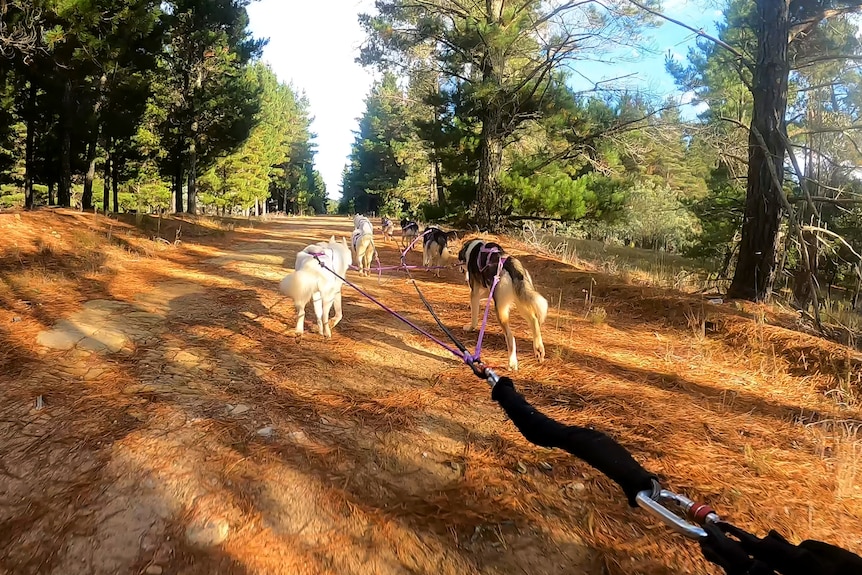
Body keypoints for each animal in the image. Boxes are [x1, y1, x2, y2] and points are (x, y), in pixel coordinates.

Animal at [460, 240, 548, 372]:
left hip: (501, 310)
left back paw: (512, 363)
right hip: (521, 300)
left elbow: (474, 317)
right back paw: (538, 349)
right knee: (534, 320)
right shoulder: (489, 291)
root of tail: (510, 263)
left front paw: (470, 327)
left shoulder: (474, 293)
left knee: (511, 337)